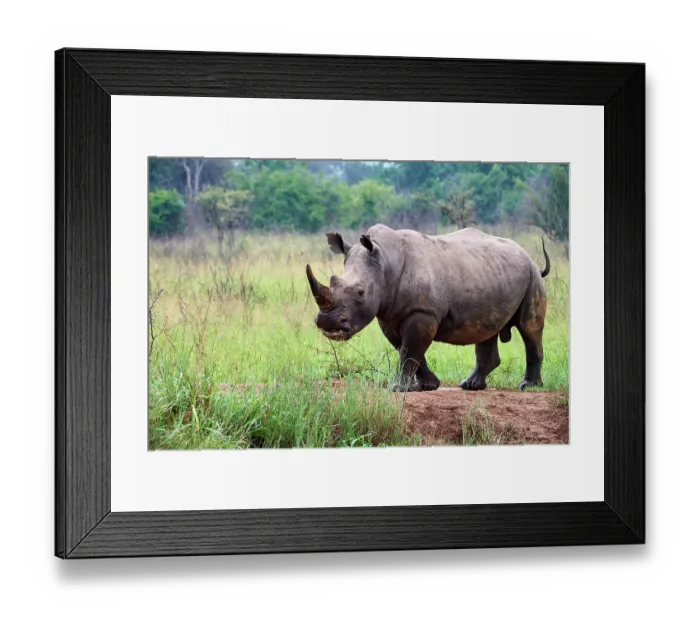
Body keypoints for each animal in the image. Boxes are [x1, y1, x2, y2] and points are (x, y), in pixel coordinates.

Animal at [306, 224, 550, 392]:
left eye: (360, 292)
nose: (328, 323)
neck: (384, 261)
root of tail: (528, 256)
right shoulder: (389, 315)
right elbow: (407, 349)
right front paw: (426, 386)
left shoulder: (422, 312)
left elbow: (409, 350)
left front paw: (398, 388)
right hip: (491, 272)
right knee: (488, 327)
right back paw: (471, 385)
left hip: (532, 276)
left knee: (529, 328)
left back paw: (528, 386)